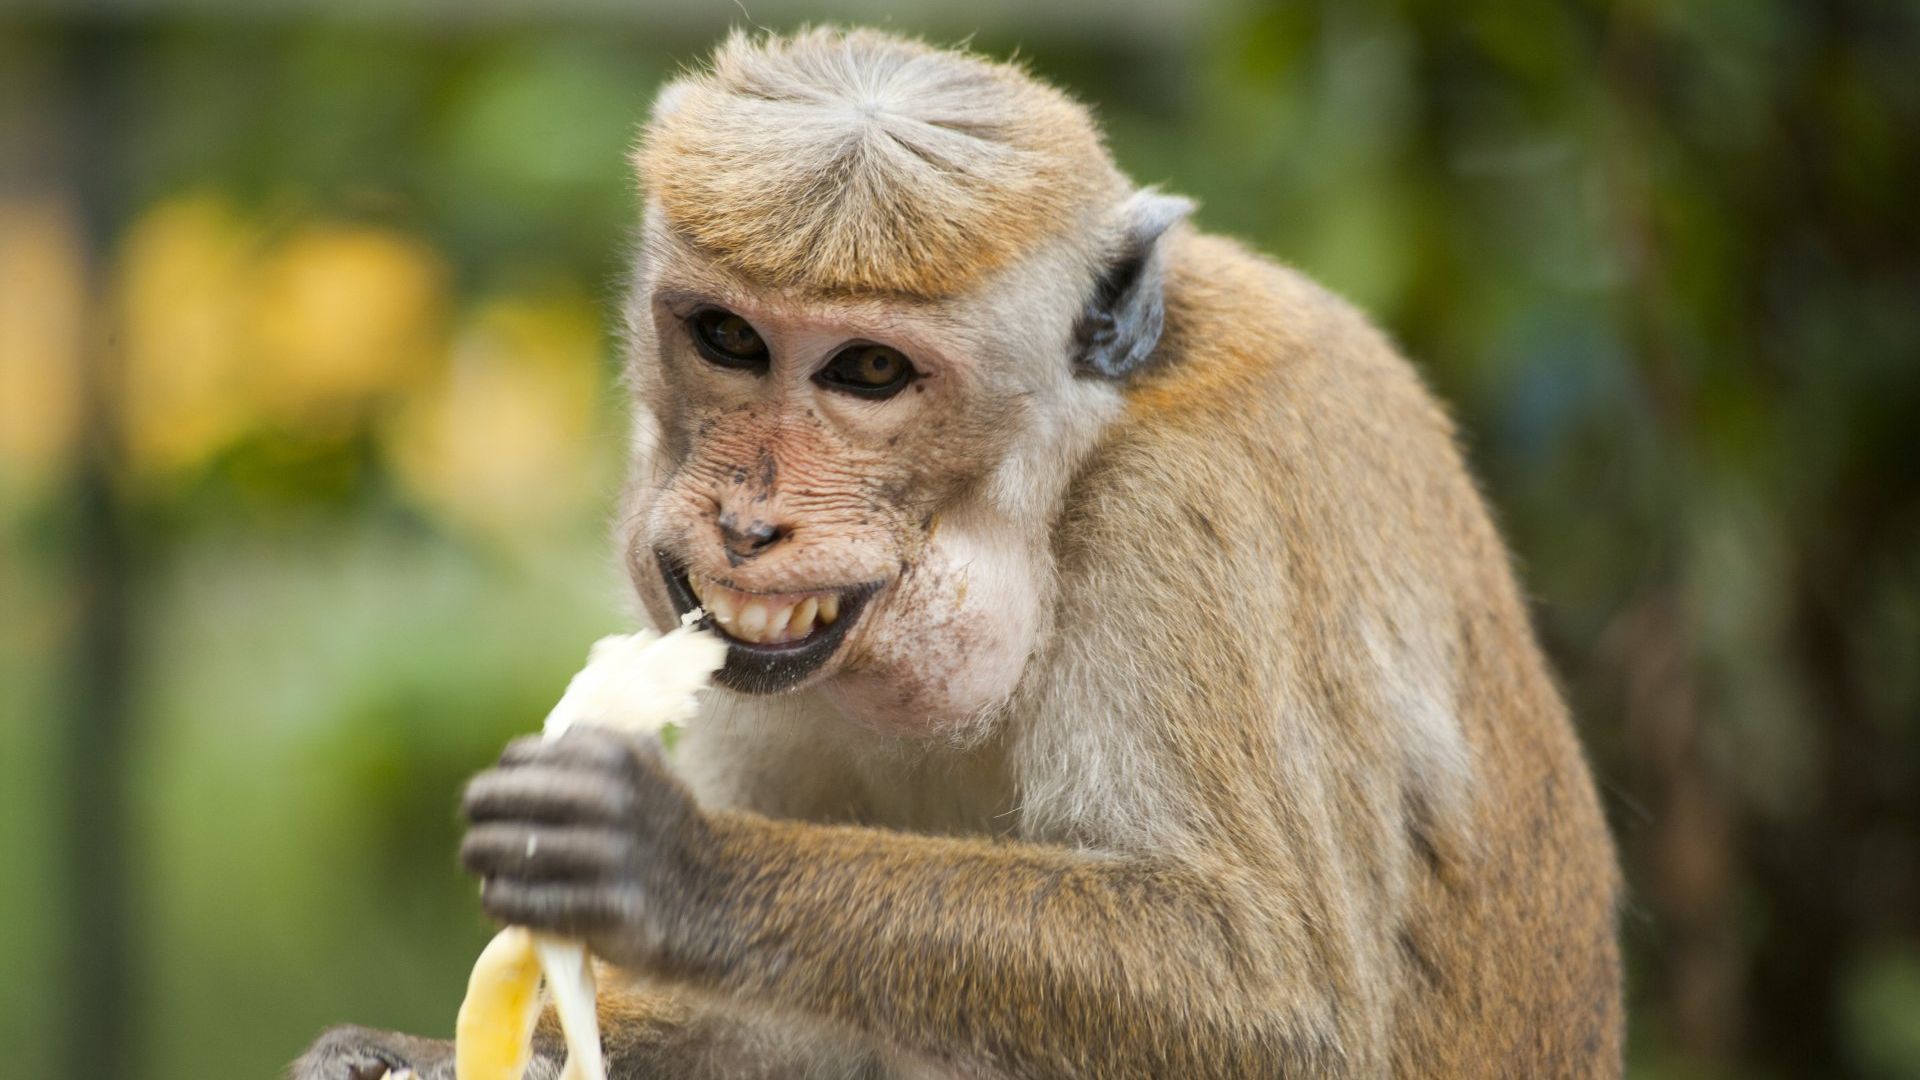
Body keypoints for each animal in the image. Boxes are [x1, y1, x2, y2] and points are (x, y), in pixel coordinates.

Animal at [295, 25, 1620, 1076]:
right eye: (728, 339)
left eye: (870, 370)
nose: (747, 523)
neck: (1063, 472)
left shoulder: (1187, 521)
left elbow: (1278, 1001)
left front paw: (678, 867)